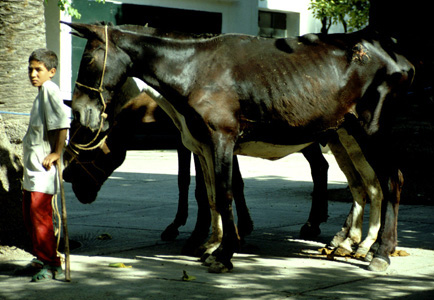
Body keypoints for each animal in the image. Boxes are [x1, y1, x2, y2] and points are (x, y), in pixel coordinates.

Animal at [63, 22, 414, 274]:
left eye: (88, 58)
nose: (79, 109)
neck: (192, 67)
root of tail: (396, 54)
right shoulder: (201, 142)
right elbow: (210, 194)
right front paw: (211, 243)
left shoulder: (220, 138)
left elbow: (222, 191)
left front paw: (222, 250)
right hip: (348, 134)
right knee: (367, 185)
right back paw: (355, 244)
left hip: (371, 131)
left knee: (389, 181)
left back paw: (380, 252)